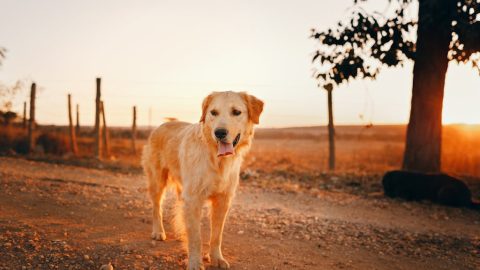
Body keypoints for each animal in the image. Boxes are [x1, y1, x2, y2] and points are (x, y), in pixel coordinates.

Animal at [141, 92, 264, 268]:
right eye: (213, 112)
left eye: (236, 112)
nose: (220, 133)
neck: (217, 160)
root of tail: (164, 123)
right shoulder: (193, 199)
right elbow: (196, 237)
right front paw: (194, 262)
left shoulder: (223, 200)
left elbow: (216, 235)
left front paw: (217, 258)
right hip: (157, 181)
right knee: (156, 207)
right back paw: (158, 231)